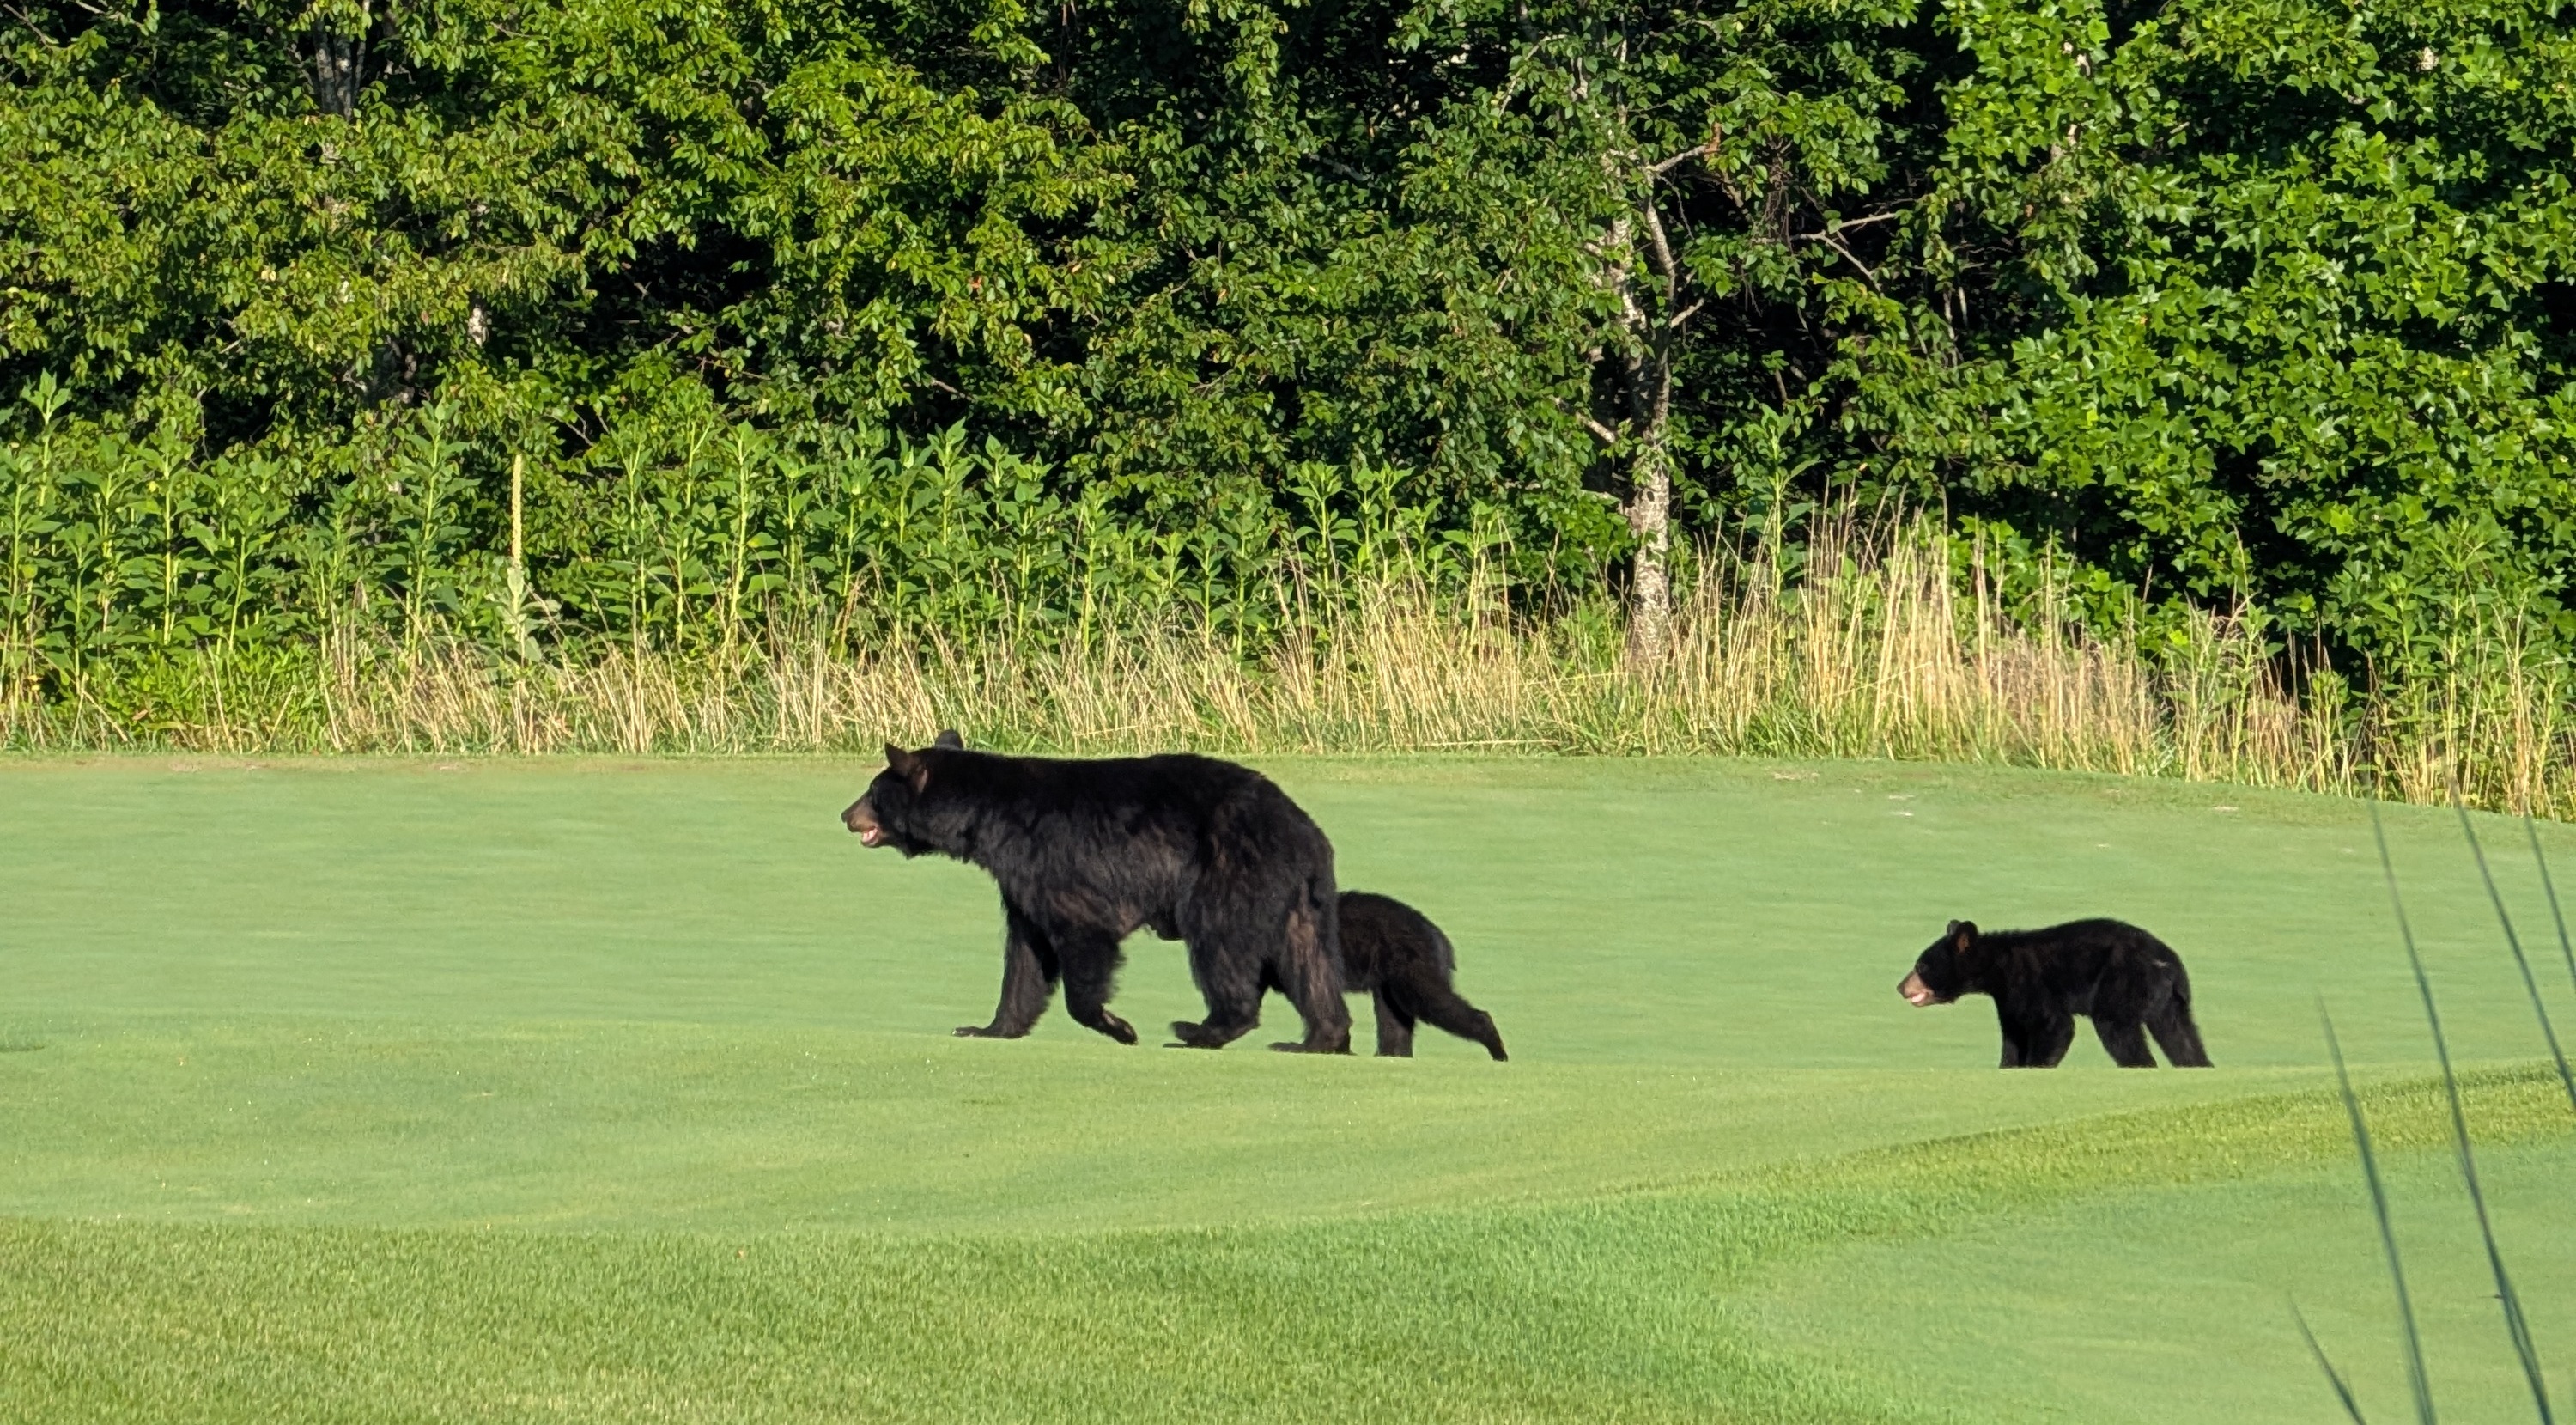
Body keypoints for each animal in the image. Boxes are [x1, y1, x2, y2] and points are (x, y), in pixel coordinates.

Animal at [843, 731, 1352, 1053]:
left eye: (872, 790)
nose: (846, 814)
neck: (990, 818)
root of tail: (1305, 831)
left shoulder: (1055, 862)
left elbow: (1082, 936)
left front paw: (1117, 1025)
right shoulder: (1019, 879)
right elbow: (1026, 954)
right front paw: (987, 1028)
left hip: (1230, 872)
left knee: (1219, 944)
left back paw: (1198, 1030)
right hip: (1298, 898)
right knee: (1309, 960)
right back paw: (1316, 1038)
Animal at [1898, 918, 2212, 1068]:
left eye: (1921, 965)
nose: (1900, 987)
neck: (2000, 968)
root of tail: (2168, 961)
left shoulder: (2032, 984)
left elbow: (2054, 1025)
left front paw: (2036, 1065)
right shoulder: (2008, 1000)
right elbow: (2013, 1035)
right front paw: (2009, 1065)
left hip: (2122, 982)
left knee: (2117, 1028)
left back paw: (2139, 1063)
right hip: (2169, 1002)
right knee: (2180, 1037)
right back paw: (2197, 1064)